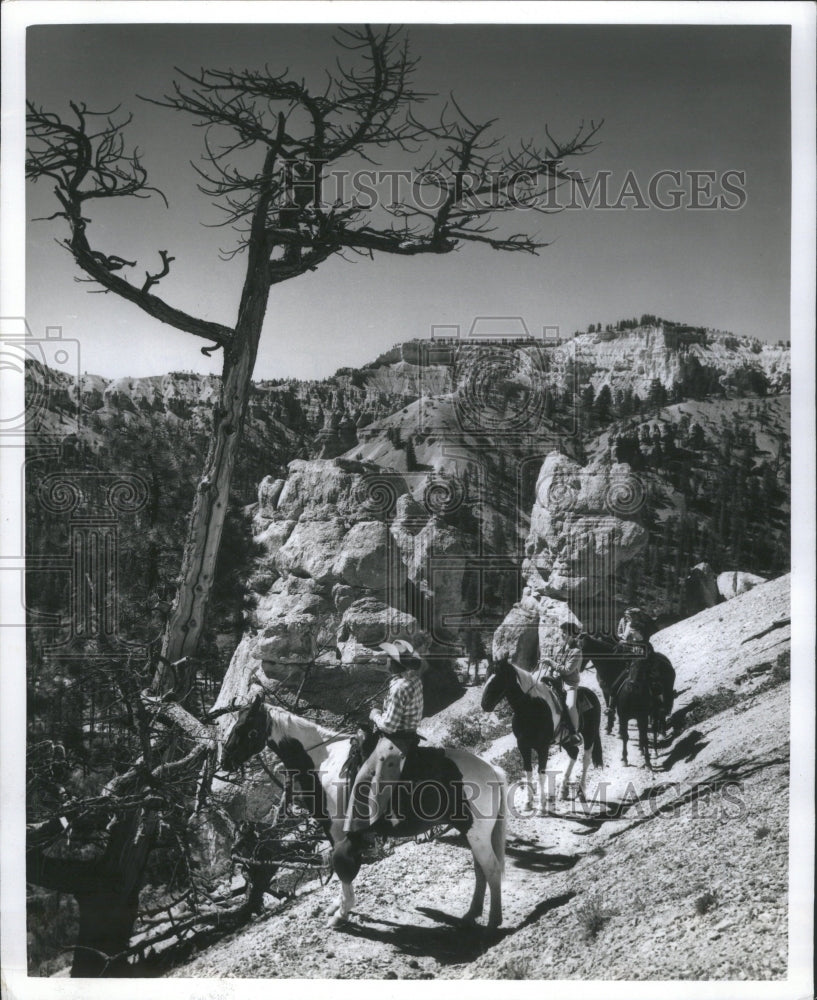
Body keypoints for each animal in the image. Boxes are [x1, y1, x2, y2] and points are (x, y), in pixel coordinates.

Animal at [220, 696, 506, 928]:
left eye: (243, 728)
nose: (225, 760)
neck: (324, 762)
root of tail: (491, 770)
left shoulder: (339, 832)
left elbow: (343, 867)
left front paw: (341, 914)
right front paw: (338, 906)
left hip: (477, 832)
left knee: (491, 869)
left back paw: (493, 921)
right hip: (471, 831)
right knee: (480, 870)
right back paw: (471, 915)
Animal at [478, 660, 600, 816]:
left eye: (499, 678)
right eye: (486, 676)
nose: (485, 704)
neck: (530, 707)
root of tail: (591, 694)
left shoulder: (543, 747)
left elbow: (541, 773)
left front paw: (542, 807)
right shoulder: (523, 746)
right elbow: (528, 771)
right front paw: (528, 803)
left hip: (590, 735)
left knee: (586, 759)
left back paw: (581, 792)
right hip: (565, 740)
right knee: (574, 753)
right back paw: (563, 791)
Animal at [576, 632, 672, 764]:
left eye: (584, 649)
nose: (579, 668)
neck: (610, 664)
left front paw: (615, 730)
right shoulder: (607, 690)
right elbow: (611, 707)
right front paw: (610, 727)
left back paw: (661, 732)